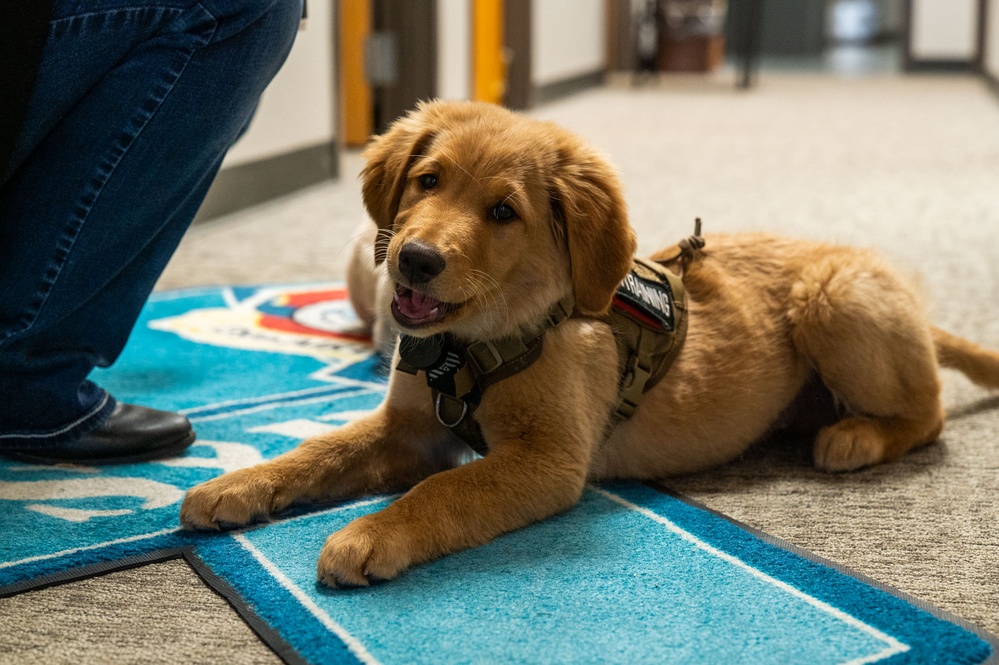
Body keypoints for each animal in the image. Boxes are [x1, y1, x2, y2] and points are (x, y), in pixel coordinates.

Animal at [184, 100, 999, 588]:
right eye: (427, 180)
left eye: (503, 212)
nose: (414, 259)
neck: (471, 350)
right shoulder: (407, 429)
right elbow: (318, 450)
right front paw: (237, 484)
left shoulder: (547, 461)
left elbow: (444, 488)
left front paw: (371, 532)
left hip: (833, 299)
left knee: (927, 412)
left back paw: (856, 436)